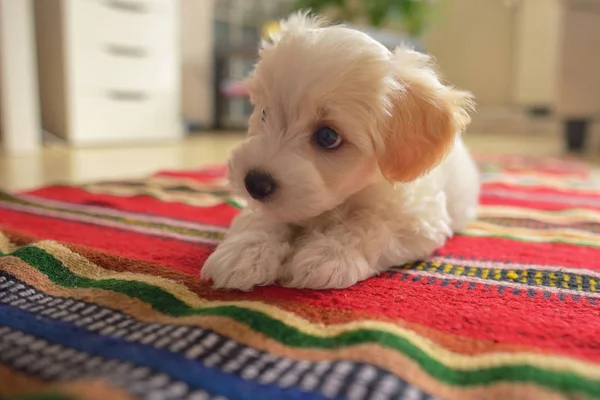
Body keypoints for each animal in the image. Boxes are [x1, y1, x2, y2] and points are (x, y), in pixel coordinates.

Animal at [200, 11, 478, 290]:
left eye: (328, 137)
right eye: (264, 113)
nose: (254, 183)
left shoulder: (418, 219)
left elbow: (371, 226)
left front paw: (328, 254)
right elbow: (261, 217)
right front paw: (245, 250)